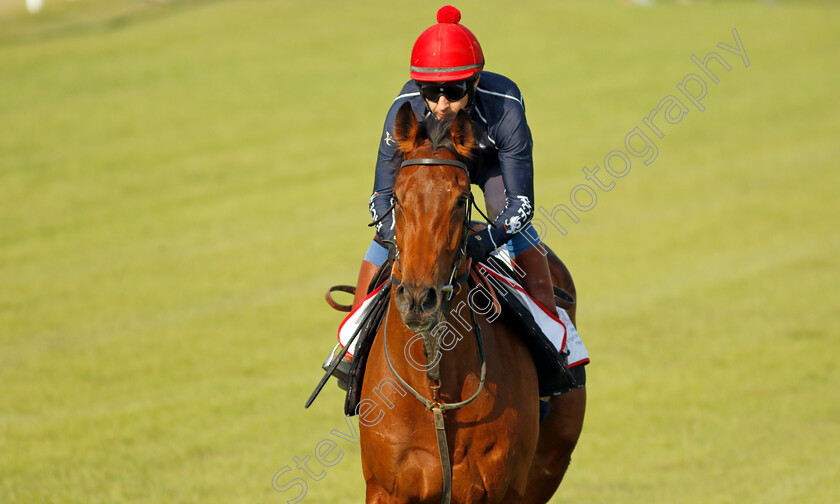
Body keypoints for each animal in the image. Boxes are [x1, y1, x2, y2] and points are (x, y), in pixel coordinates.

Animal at [360, 100, 584, 502]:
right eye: (397, 198)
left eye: (460, 198)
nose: (418, 299)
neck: (435, 392)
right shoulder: (386, 489)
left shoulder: (499, 489)